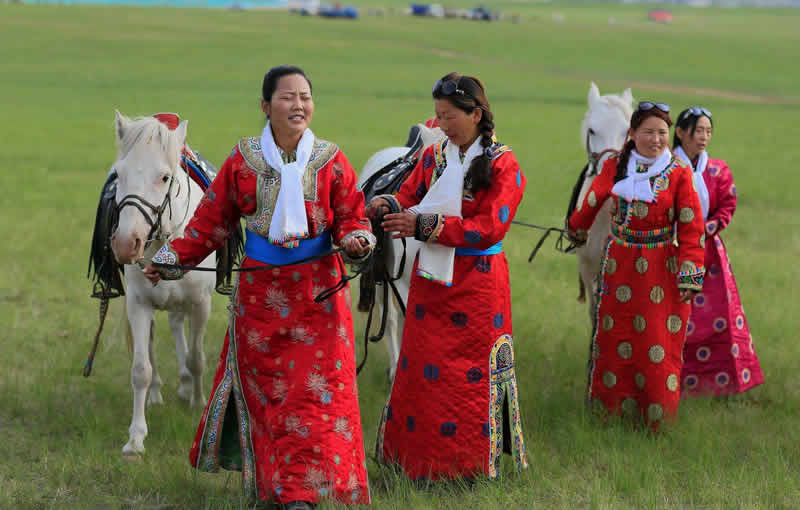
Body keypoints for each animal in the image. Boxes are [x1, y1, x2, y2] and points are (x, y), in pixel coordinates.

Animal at [111, 113, 216, 456]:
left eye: (165, 177)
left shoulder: (201, 304)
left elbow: (196, 358)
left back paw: (185, 386)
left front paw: (197, 402)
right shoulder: (139, 304)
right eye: (118, 174)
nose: (125, 243)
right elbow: (140, 370)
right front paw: (135, 438)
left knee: (178, 327)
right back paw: (157, 393)